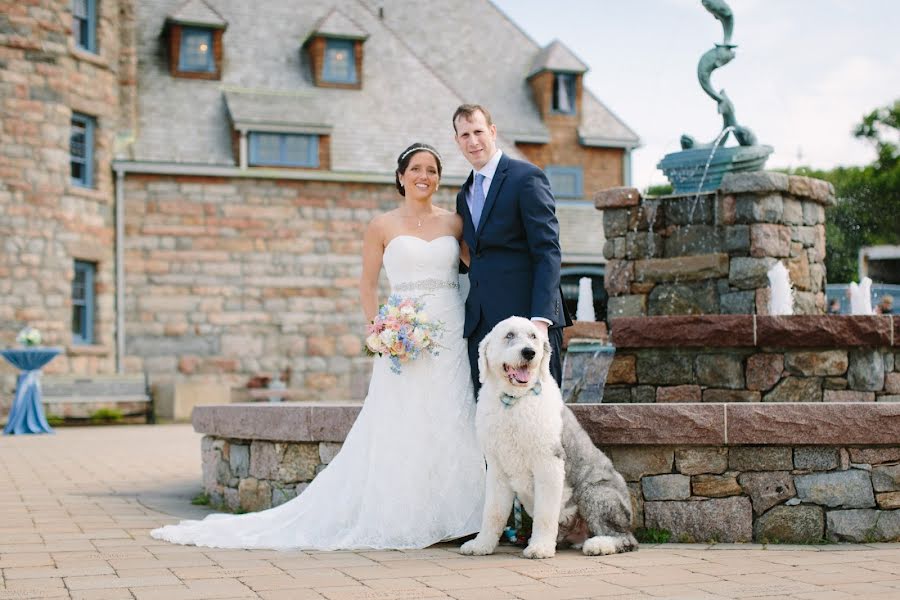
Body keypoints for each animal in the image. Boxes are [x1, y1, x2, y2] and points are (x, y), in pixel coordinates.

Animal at [460, 316, 636, 560]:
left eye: (534, 336)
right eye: (509, 335)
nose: (529, 352)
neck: (515, 402)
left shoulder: (548, 463)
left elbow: (545, 514)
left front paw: (540, 548)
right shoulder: (497, 468)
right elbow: (493, 513)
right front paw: (481, 545)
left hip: (595, 492)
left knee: (625, 538)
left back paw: (599, 545)